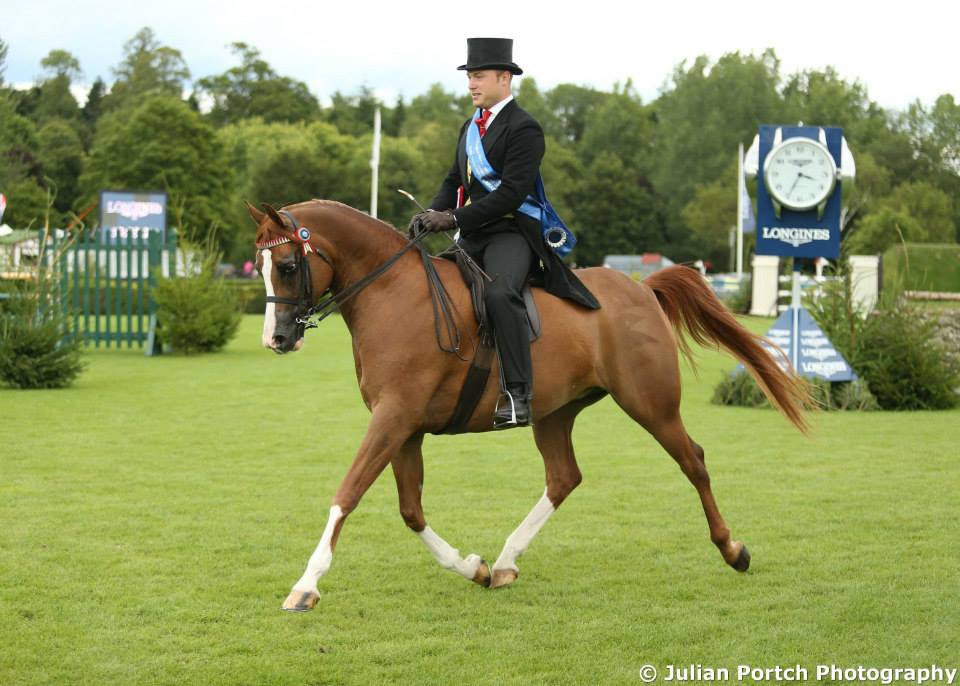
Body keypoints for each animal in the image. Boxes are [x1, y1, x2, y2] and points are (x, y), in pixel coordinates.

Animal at [249, 199, 811, 612]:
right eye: (262, 269)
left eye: (288, 265)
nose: (276, 339)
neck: (393, 293)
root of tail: (641, 290)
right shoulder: (404, 427)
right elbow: (411, 511)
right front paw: (472, 567)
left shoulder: (393, 419)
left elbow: (347, 494)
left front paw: (306, 584)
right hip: (555, 412)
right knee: (564, 477)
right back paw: (503, 562)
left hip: (650, 404)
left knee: (692, 460)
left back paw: (733, 549)